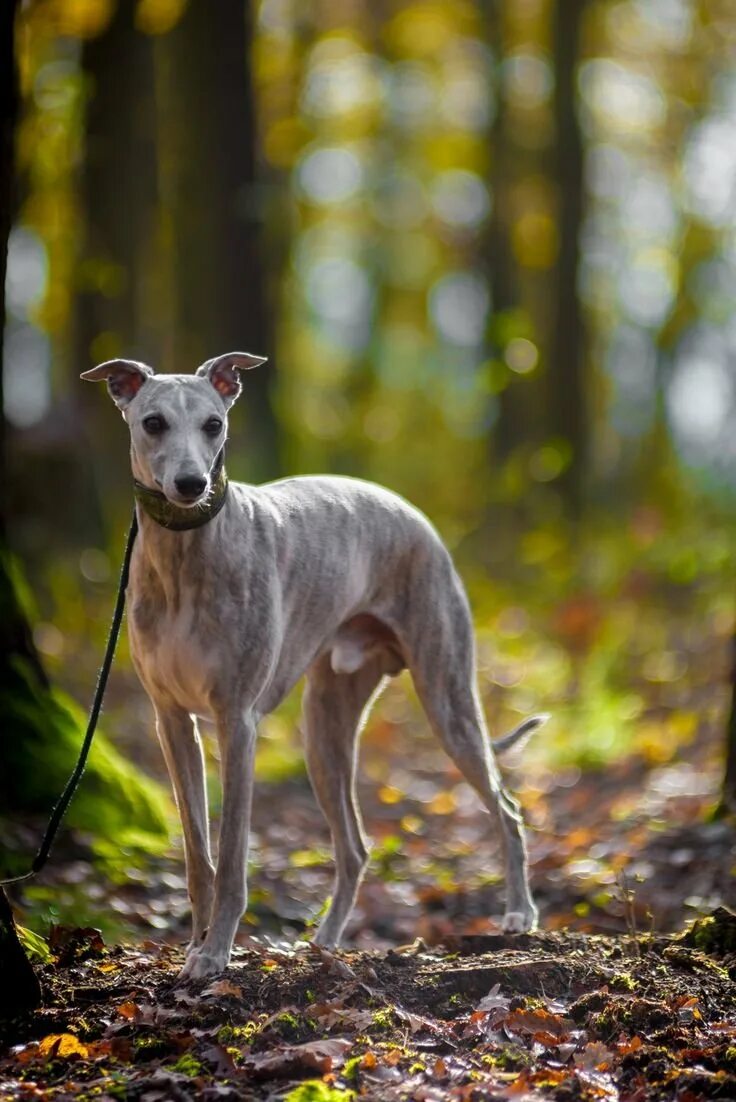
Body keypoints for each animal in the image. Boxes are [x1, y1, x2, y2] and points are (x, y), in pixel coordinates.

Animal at [82, 354, 546, 982]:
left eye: (213, 424)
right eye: (152, 423)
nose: (191, 485)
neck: (186, 557)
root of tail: (414, 515)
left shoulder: (237, 721)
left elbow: (232, 854)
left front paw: (216, 952)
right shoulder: (173, 721)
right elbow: (198, 853)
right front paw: (194, 943)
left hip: (447, 697)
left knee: (508, 808)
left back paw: (520, 912)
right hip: (326, 727)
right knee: (355, 847)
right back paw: (324, 941)